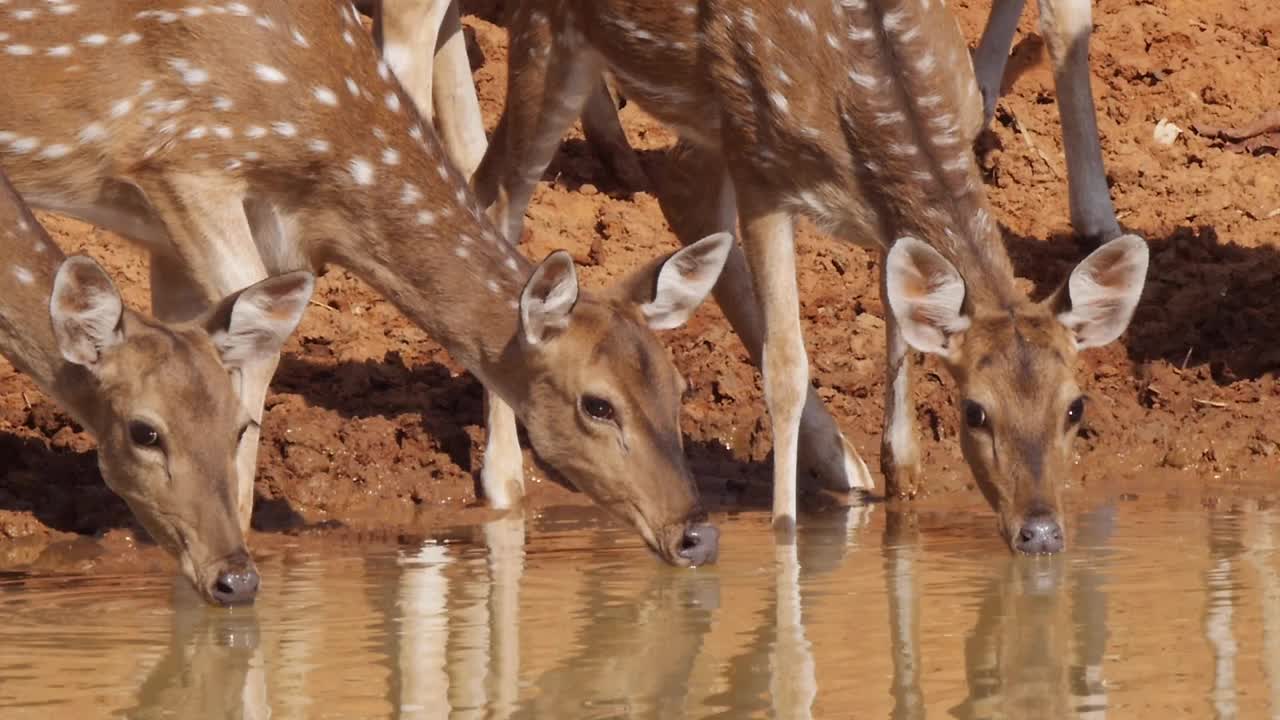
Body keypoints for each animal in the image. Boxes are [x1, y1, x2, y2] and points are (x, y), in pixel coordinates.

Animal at [471, 0, 1152, 550]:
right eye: (976, 413)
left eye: (1076, 407)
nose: (1041, 531)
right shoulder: (760, 166)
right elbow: (786, 368)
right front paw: (785, 535)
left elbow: (900, 338)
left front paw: (898, 491)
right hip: (551, 42)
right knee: (499, 204)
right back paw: (502, 478)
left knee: (671, 194)